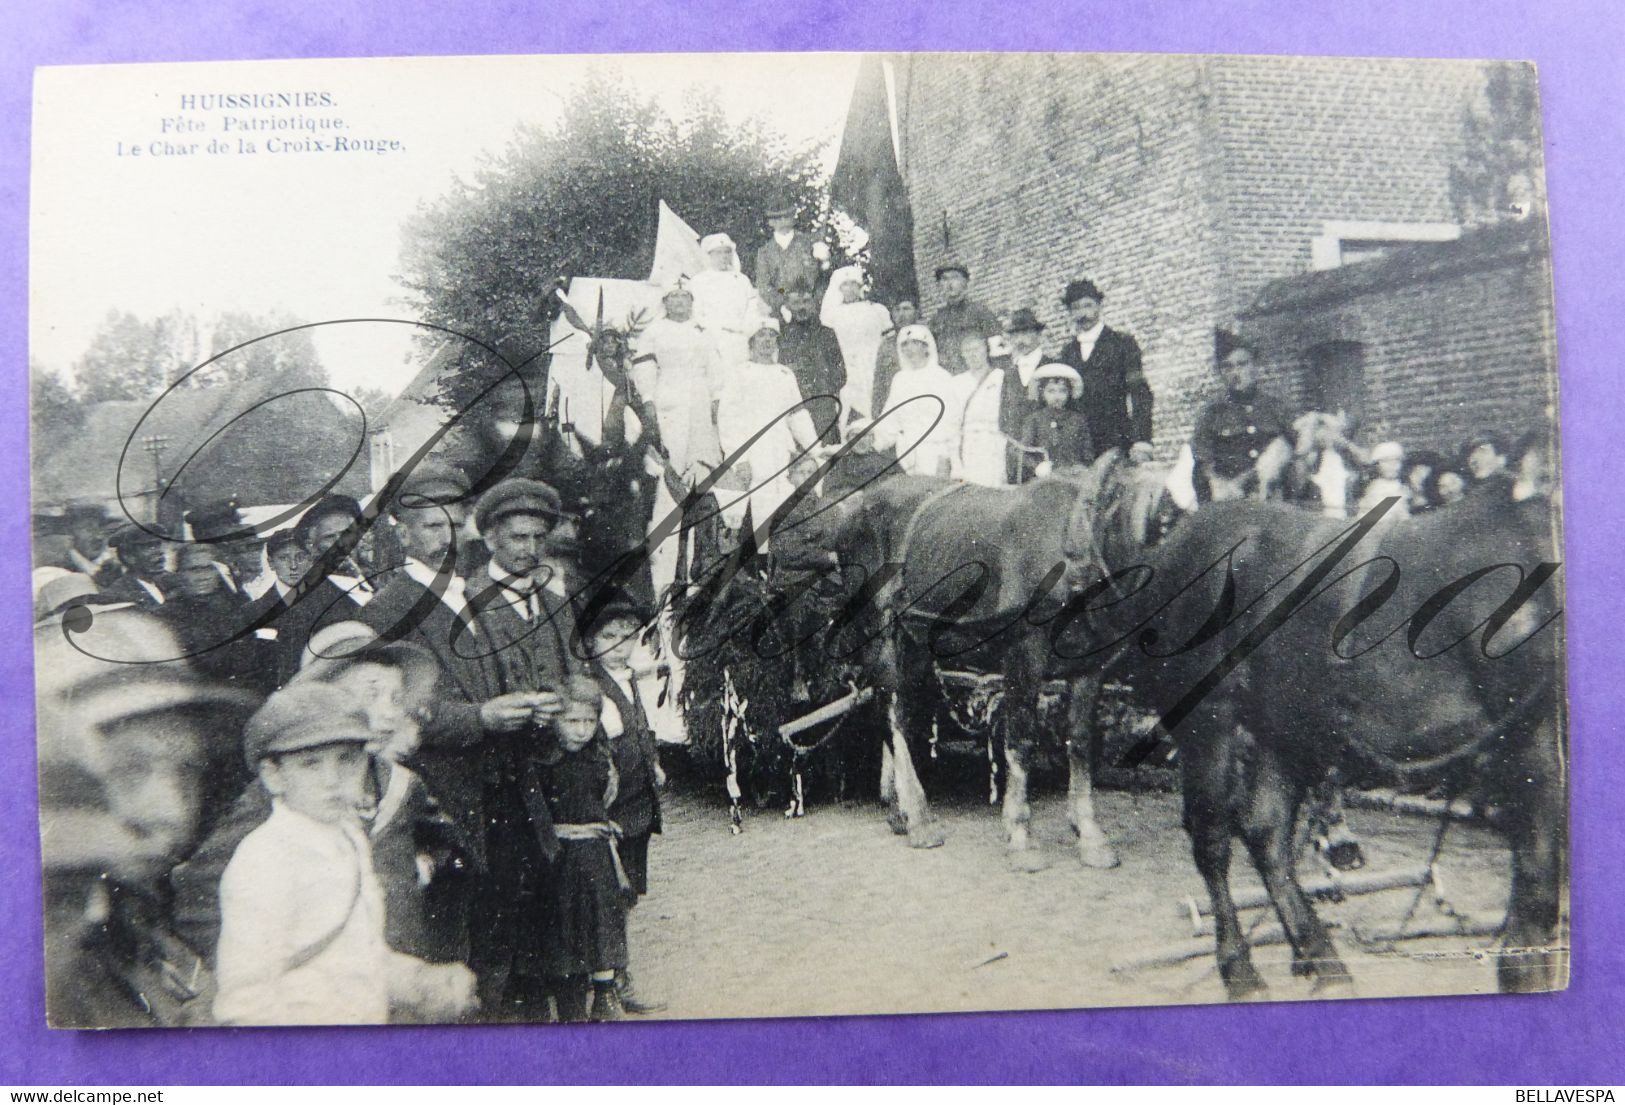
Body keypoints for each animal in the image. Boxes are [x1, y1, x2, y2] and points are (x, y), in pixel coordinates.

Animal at [812, 448, 1131, 871]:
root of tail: (857, 507)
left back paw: (899, 810)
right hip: (881, 635)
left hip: (915, 644)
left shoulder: (1090, 665)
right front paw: (1021, 837)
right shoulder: (1023, 657)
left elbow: (1079, 741)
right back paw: (919, 819)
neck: (1073, 537)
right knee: (892, 712)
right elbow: (1021, 740)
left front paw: (1091, 836)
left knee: (901, 711)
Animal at [1111, 490, 1566, 994]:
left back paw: (1321, 958)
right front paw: (1524, 973)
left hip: (1282, 729)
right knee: (1212, 839)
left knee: (1265, 833)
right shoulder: (1526, 741)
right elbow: (1540, 863)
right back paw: (1241, 970)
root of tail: (1168, 548)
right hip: (1209, 722)